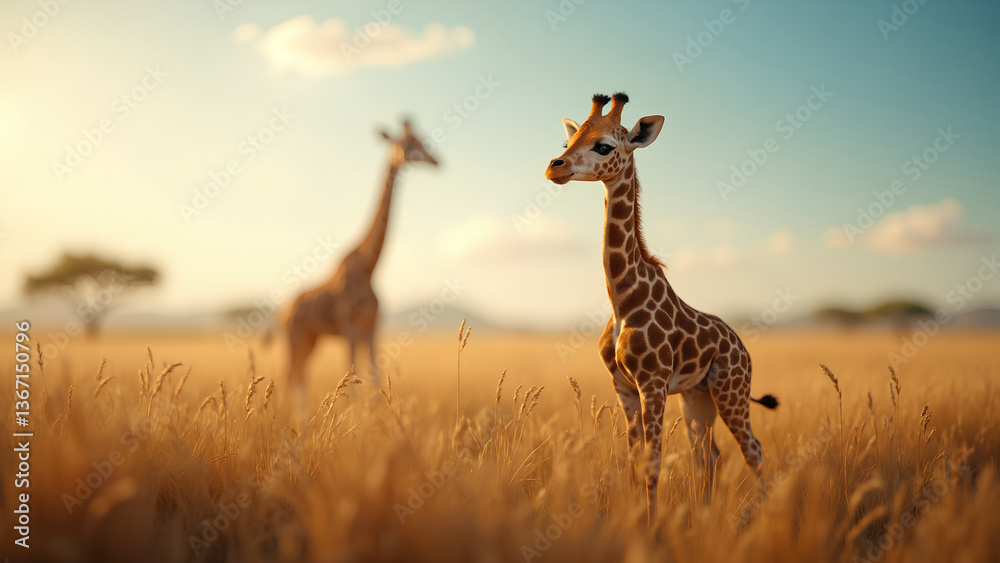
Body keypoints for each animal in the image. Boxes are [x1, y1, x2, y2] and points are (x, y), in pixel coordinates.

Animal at [282, 120, 437, 398]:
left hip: (311, 339)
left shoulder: (372, 328)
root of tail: (281, 312)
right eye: (408, 143)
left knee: (296, 376)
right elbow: (353, 381)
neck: (369, 268)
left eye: (421, 140)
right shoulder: (350, 330)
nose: (437, 160)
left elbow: (375, 377)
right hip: (294, 338)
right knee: (288, 377)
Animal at [545, 93, 778, 522]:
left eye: (605, 146)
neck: (622, 301)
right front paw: (637, 520)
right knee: (709, 453)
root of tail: (742, 347)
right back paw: (705, 515)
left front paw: (651, 527)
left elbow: (652, 461)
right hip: (698, 397)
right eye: (569, 141)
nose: (556, 167)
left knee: (751, 449)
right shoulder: (622, 386)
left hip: (730, 390)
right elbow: (634, 458)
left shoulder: (651, 383)